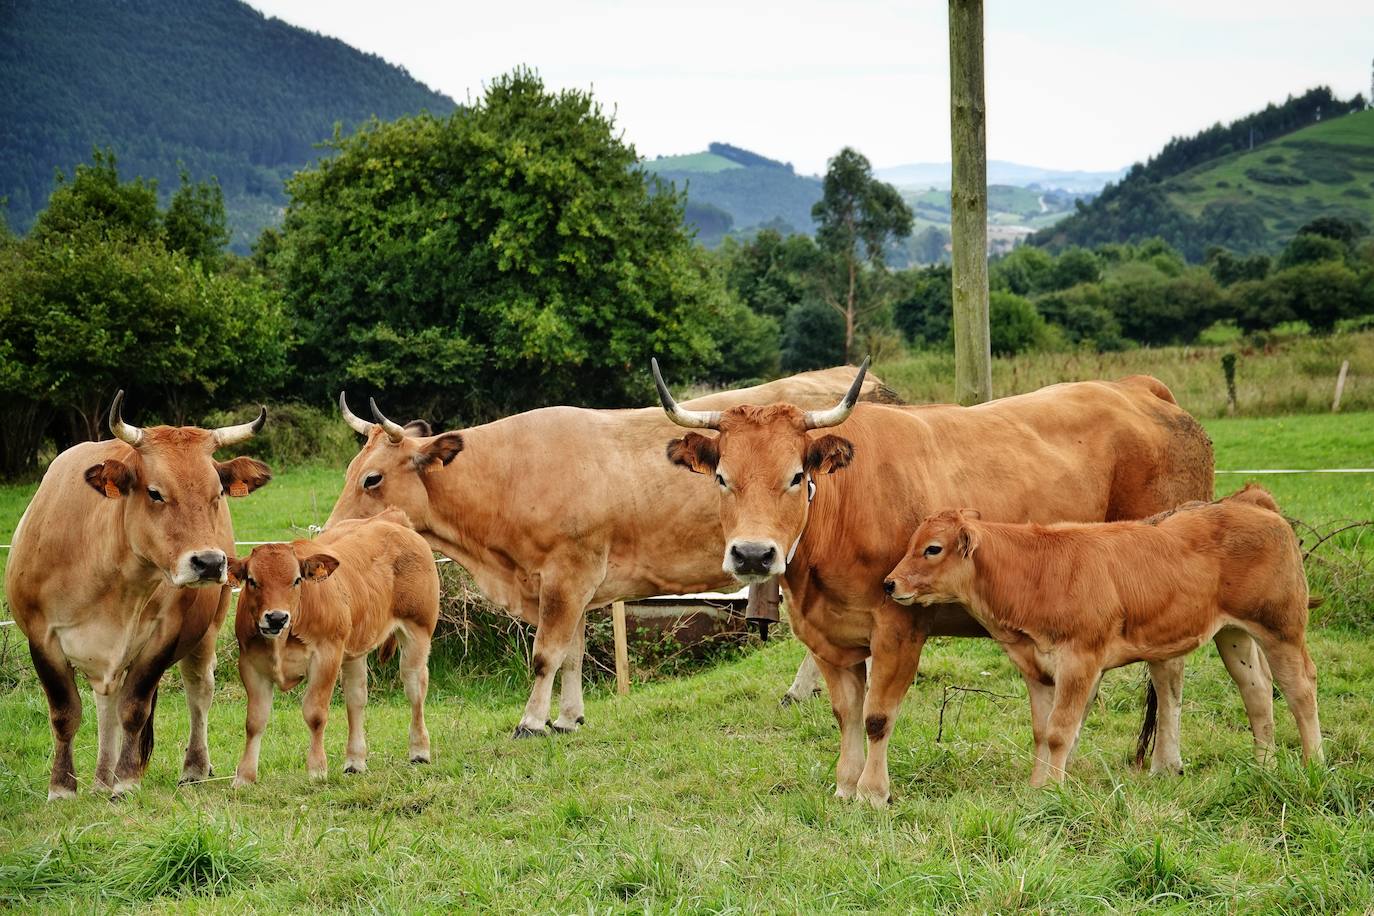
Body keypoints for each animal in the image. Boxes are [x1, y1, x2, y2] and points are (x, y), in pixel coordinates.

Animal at [4, 398, 267, 796]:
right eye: (155, 492)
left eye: (217, 493)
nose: (209, 562)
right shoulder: (41, 637)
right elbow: (66, 712)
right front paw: (63, 787)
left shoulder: (163, 636)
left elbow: (134, 709)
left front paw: (126, 780)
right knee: (105, 704)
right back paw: (100, 779)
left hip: (208, 629)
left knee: (198, 689)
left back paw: (193, 767)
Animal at [228, 508, 436, 791]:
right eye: (252, 581)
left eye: (296, 580)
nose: (276, 618)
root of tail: (390, 519)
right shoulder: (250, 664)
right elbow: (254, 721)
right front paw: (244, 776)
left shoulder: (326, 657)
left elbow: (315, 714)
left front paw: (317, 770)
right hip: (355, 651)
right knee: (356, 699)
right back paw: (355, 762)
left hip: (418, 632)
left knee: (415, 689)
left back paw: (419, 752)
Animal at [327, 365, 895, 736]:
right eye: (351, 471)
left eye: (373, 478)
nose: (331, 534)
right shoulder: (568, 583)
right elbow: (573, 652)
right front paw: (567, 718)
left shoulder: (567, 573)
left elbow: (546, 654)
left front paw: (531, 721)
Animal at [654, 362, 1275, 807]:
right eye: (722, 477)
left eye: (795, 476)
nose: (753, 554)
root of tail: (1139, 389)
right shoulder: (828, 639)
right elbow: (846, 715)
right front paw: (844, 786)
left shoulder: (899, 626)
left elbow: (877, 715)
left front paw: (874, 794)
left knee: (1168, 675)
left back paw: (1168, 763)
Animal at [879, 486, 1319, 791]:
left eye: (933, 549)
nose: (889, 583)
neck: (1036, 571)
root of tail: (1249, 500)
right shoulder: (1037, 667)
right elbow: (1042, 732)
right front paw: (1036, 787)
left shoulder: (1080, 660)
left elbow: (1059, 732)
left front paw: (1052, 793)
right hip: (1233, 633)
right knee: (1256, 690)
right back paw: (1264, 764)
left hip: (1282, 627)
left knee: (1300, 688)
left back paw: (1314, 763)